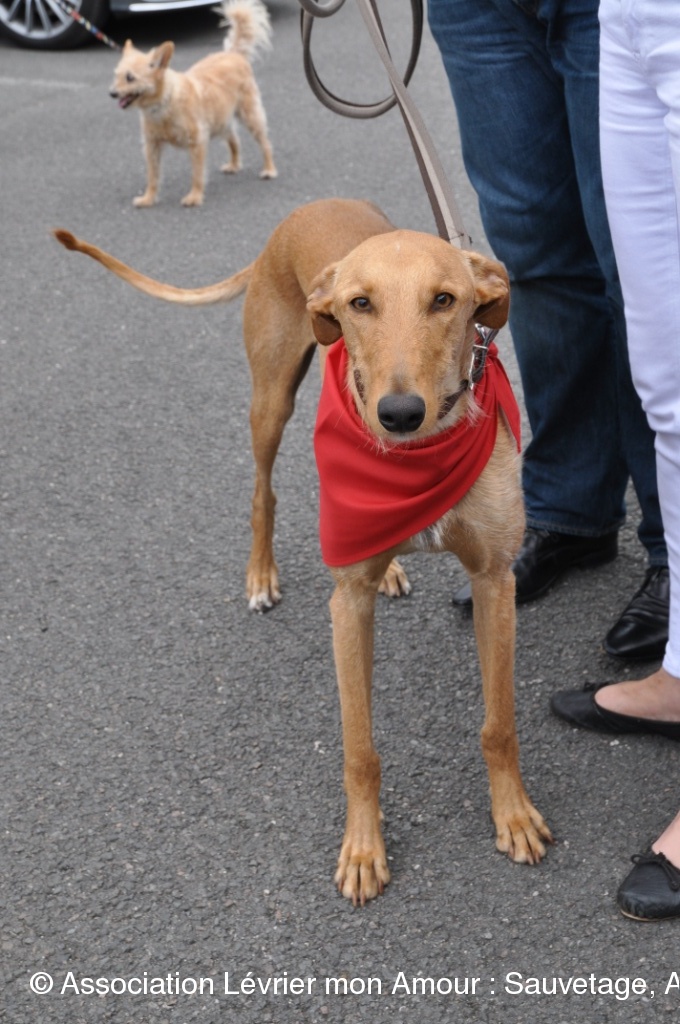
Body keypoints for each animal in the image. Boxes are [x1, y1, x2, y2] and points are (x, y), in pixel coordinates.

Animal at [54, 198, 552, 904]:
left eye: (445, 299)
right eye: (361, 303)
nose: (400, 414)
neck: (415, 461)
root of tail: (308, 208)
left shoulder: (495, 581)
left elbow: (499, 724)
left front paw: (512, 815)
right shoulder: (346, 608)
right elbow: (360, 749)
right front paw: (364, 849)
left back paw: (390, 568)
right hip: (271, 399)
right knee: (263, 491)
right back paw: (261, 574)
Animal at [109, 0, 277, 208]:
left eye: (130, 78)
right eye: (116, 76)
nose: (112, 93)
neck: (164, 104)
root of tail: (233, 54)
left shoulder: (197, 143)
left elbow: (197, 174)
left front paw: (195, 196)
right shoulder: (152, 147)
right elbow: (153, 175)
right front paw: (148, 198)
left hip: (250, 115)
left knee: (265, 143)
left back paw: (269, 169)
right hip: (221, 121)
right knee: (234, 140)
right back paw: (234, 165)